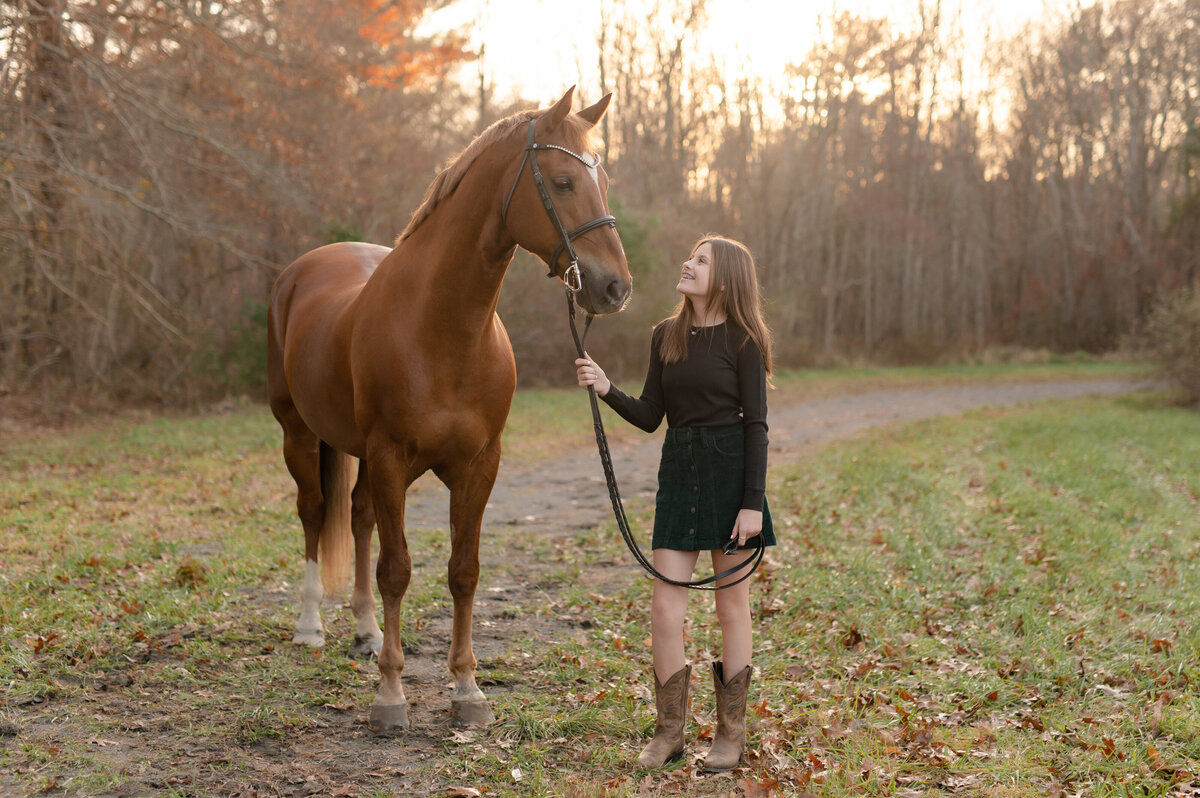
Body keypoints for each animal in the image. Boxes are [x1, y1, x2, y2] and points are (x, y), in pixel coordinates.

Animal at [268, 88, 633, 729]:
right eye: (563, 182)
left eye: (603, 179)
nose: (614, 287)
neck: (444, 328)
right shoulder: (391, 457)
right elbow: (397, 570)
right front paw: (391, 695)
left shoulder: (479, 465)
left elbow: (463, 572)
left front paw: (467, 688)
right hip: (299, 433)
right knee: (314, 513)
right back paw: (311, 626)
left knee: (358, 517)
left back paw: (364, 632)